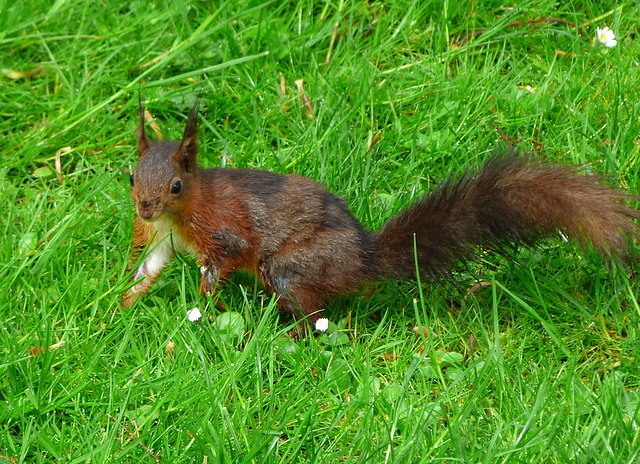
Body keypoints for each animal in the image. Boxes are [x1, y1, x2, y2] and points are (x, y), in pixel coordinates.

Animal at [122, 104, 640, 330]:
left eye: (176, 186)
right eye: (131, 176)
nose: (145, 207)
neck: (185, 211)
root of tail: (363, 261)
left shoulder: (222, 229)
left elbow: (225, 258)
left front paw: (206, 302)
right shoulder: (166, 237)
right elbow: (152, 267)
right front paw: (124, 302)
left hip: (291, 268)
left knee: (313, 311)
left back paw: (287, 331)